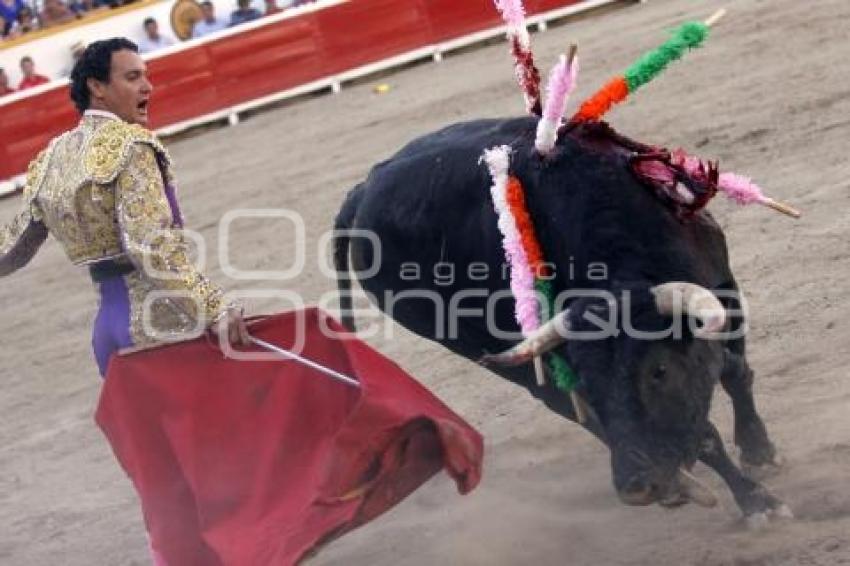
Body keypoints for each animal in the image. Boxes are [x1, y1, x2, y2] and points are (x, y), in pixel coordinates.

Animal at [332, 116, 788, 524]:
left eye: (659, 371)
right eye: (587, 380)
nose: (636, 487)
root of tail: (362, 191)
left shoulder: (721, 282)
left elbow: (736, 373)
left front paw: (758, 449)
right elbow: (705, 433)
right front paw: (756, 501)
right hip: (491, 351)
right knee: (561, 405)